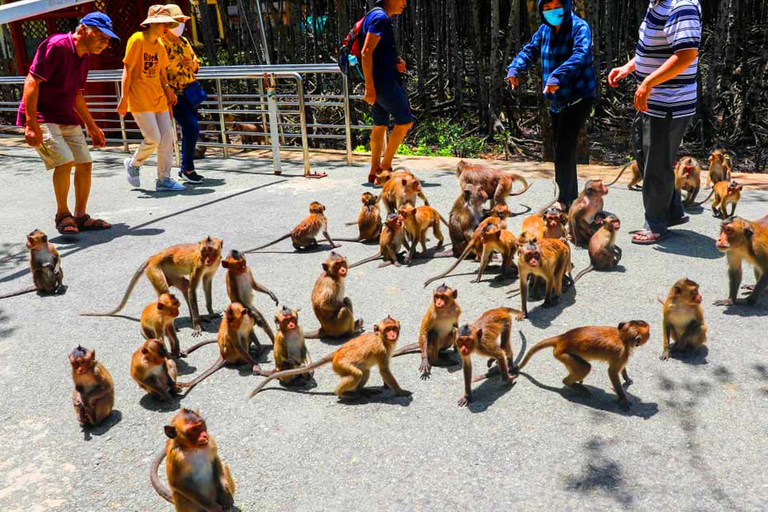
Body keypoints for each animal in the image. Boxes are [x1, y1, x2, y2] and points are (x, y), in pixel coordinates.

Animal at [82, 238, 224, 338]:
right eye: (204, 251)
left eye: (211, 250)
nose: (207, 260)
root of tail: (154, 257)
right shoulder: (199, 265)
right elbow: (192, 288)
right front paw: (197, 325)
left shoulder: (214, 265)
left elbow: (206, 282)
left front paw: (210, 312)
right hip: (154, 270)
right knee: (166, 291)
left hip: (168, 271)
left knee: (184, 284)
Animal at [249, 316, 412, 400]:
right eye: (387, 329)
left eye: (393, 328)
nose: (392, 334)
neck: (382, 339)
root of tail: (337, 352)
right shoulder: (382, 350)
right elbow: (384, 370)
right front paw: (399, 391)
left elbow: (384, 371)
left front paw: (387, 386)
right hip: (340, 365)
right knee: (357, 374)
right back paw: (342, 393)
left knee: (364, 372)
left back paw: (361, 391)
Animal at [516, 322, 648, 410]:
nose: (651, 335)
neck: (622, 336)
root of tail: (562, 338)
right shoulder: (621, 352)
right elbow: (612, 372)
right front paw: (623, 398)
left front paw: (626, 378)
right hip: (561, 354)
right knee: (585, 368)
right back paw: (570, 384)